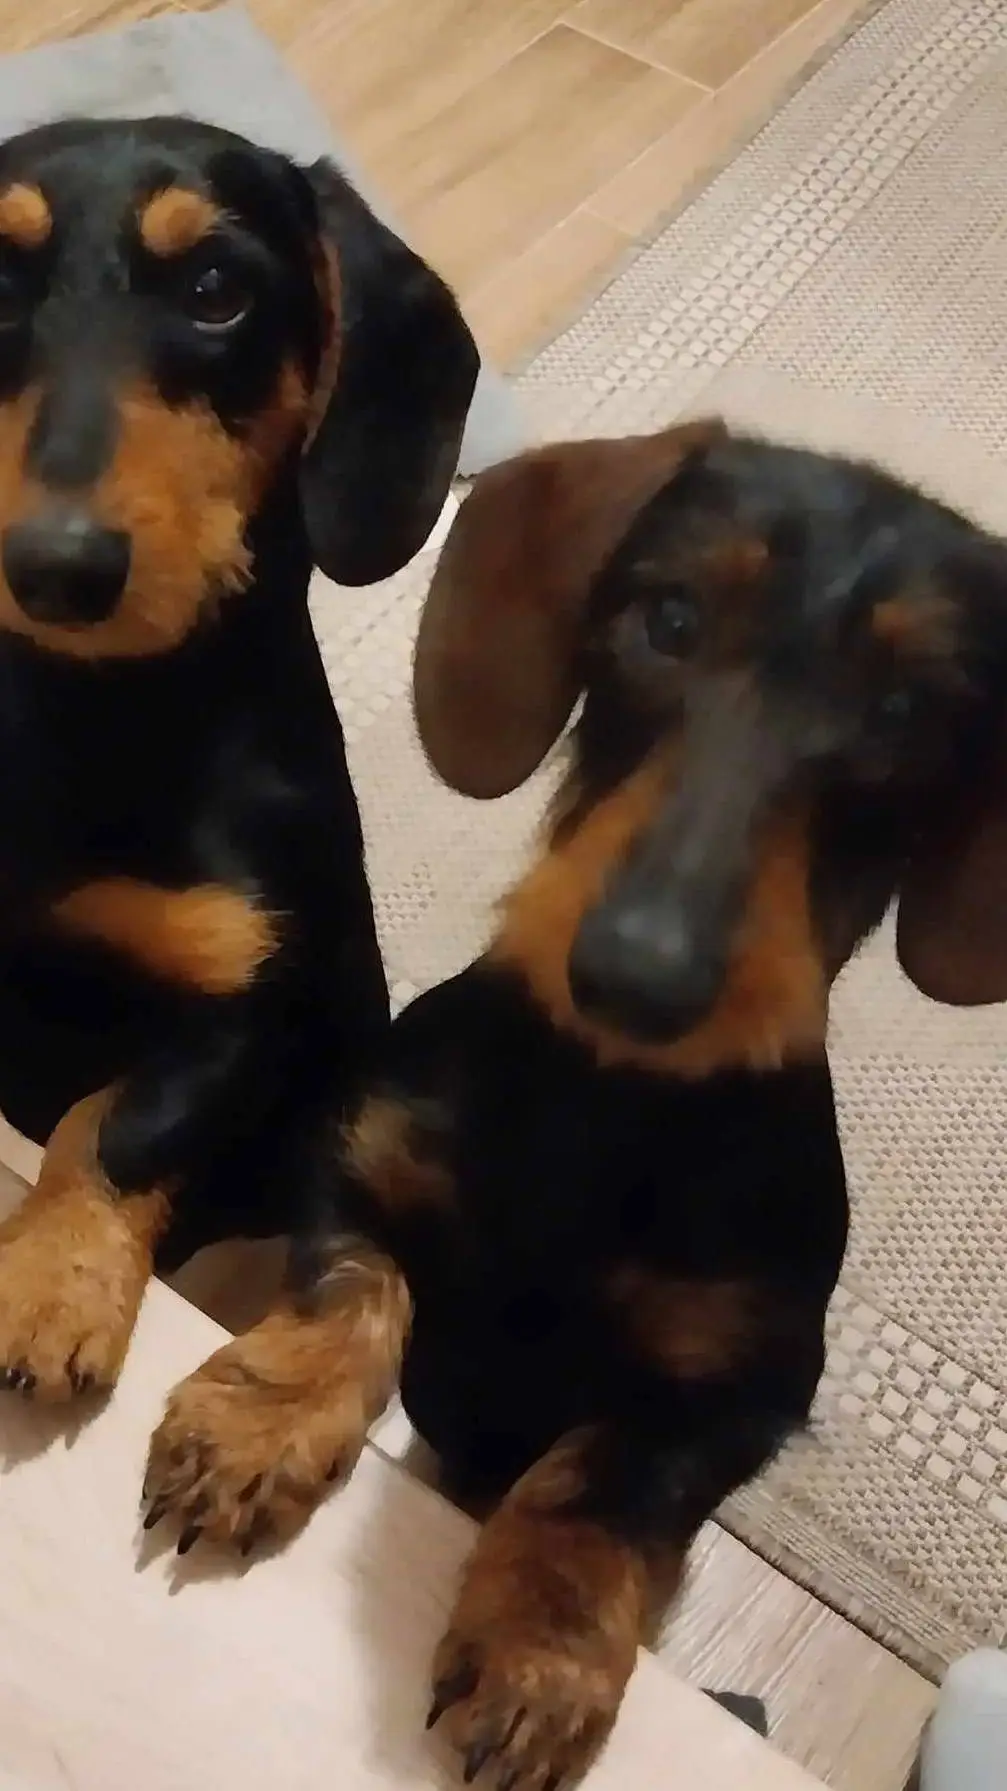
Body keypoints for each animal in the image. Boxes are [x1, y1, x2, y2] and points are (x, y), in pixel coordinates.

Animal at [0, 117, 477, 1415]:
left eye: (217, 290)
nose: (55, 567)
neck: (95, 710)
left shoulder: (240, 1007)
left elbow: (111, 1123)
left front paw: (52, 1282)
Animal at [141, 421, 1007, 1785]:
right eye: (667, 619)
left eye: (903, 714)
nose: (637, 975)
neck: (600, 1105)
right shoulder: (351, 1169)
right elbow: (352, 1291)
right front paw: (254, 1425)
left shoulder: (742, 1396)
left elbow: (602, 1475)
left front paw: (539, 1651)